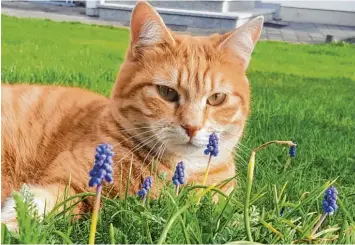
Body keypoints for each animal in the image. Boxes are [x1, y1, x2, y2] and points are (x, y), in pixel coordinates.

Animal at [0, 0, 264, 230]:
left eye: (216, 98)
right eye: (167, 92)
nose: (192, 127)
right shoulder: (70, 179)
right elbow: (48, 202)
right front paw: (14, 222)